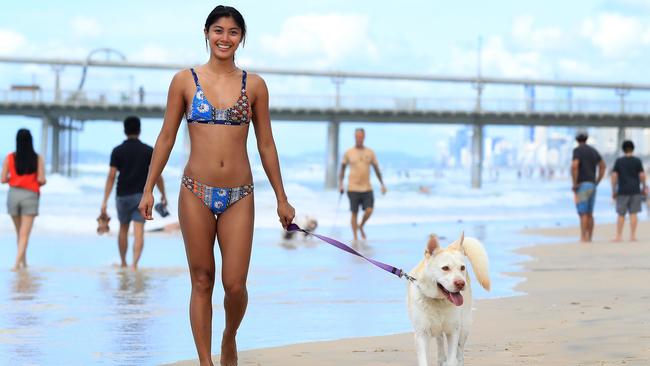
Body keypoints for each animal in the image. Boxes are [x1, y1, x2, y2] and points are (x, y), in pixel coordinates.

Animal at [402, 233, 488, 364]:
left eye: (462, 267)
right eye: (445, 268)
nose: (460, 283)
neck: (438, 300)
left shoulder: (453, 331)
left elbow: (452, 359)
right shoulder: (422, 334)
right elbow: (424, 360)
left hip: (465, 326)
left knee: (460, 353)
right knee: (440, 343)